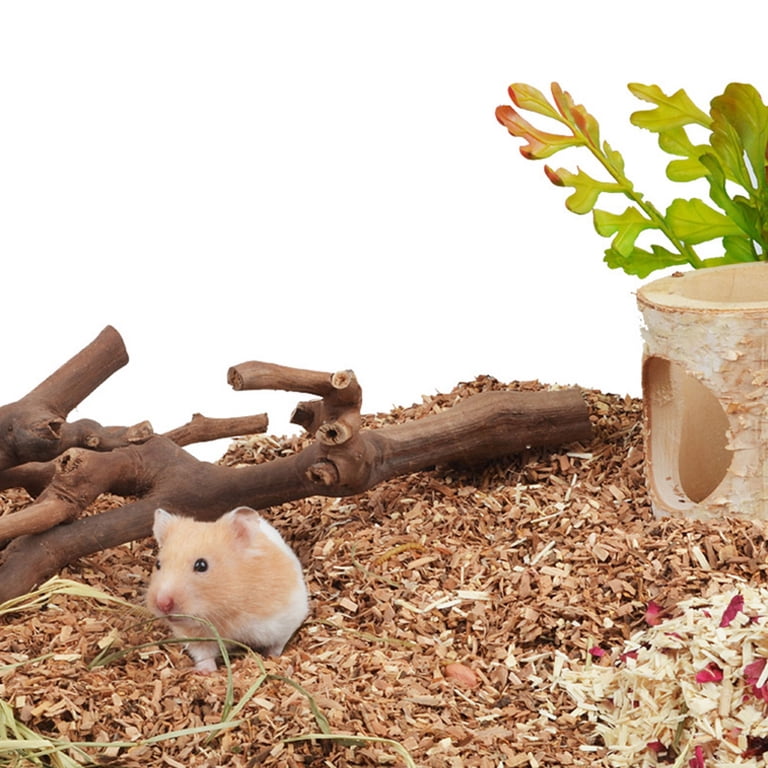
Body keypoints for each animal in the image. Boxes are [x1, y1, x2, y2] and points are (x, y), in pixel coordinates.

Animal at [146, 506, 309, 673]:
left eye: (201, 565)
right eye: (158, 564)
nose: (162, 604)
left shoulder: (283, 621)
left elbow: (277, 645)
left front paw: (271, 657)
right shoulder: (197, 636)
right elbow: (203, 654)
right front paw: (205, 671)